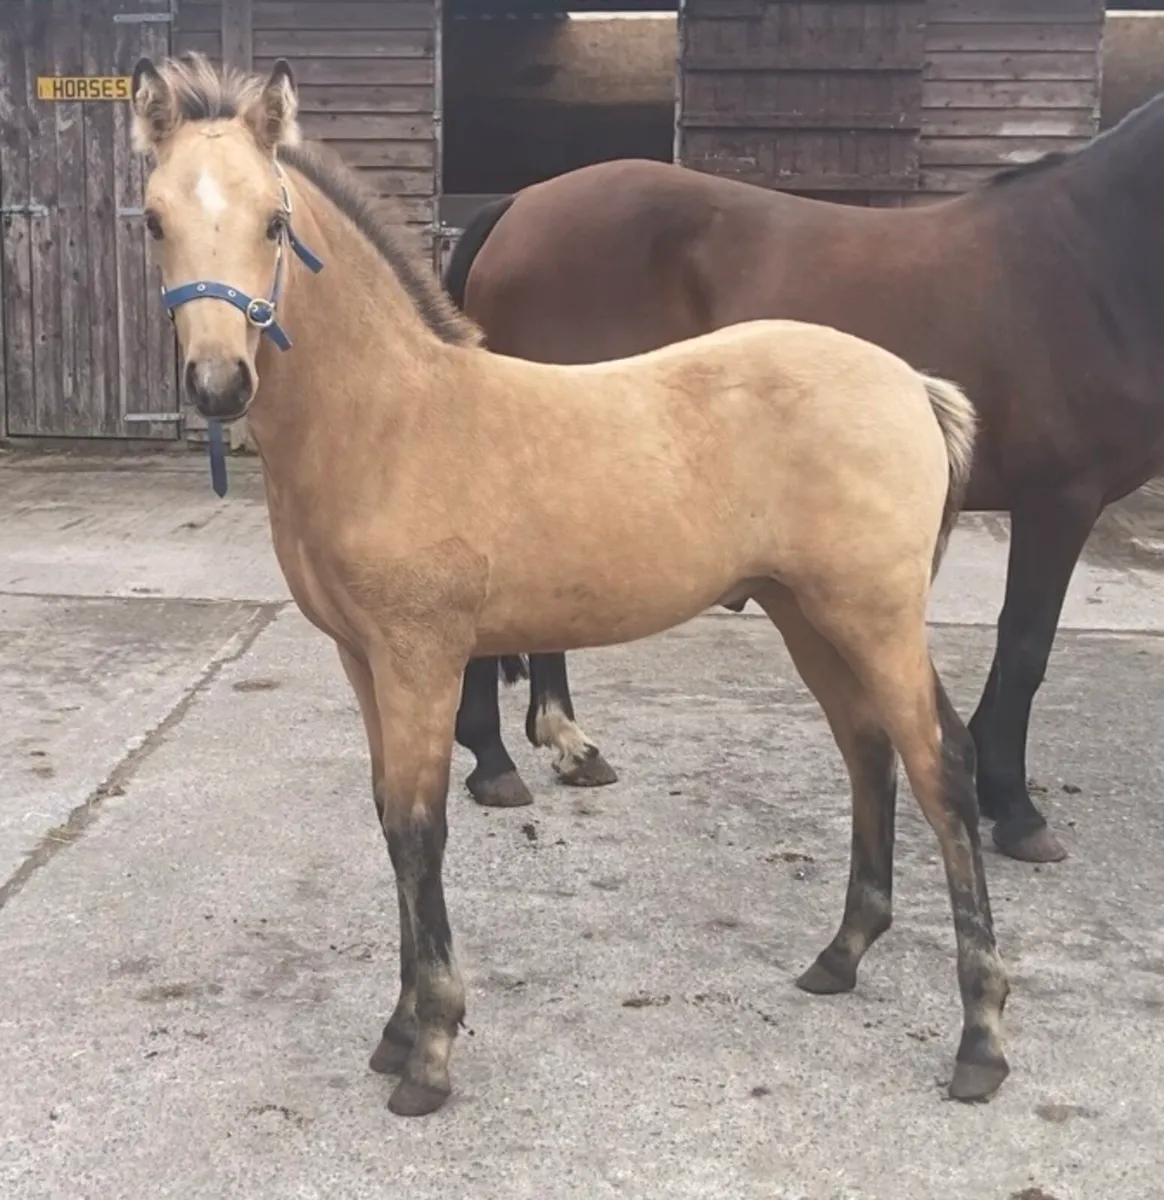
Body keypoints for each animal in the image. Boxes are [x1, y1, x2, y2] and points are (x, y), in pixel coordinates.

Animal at [131, 51, 1008, 1116]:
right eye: (153, 219)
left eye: (273, 221)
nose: (220, 383)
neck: (392, 420)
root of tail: (914, 385)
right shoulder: (362, 660)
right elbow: (387, 818)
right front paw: (398, 1028)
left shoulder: (422, 658)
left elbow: (418, 828)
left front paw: (429, 1050)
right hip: (808, 615)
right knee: (868, 751)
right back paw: (840, 956)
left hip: (874, 616)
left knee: (941, 765)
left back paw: (981, 1037)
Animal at [444, 104, 1164, 868]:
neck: (1087, 262)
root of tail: (522, 203)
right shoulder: (1060, 499)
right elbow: (1026, 647)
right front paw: (1019, 810)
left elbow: (1012, 651)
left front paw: (994, 790)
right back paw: (495, 761)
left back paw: (567, 745)